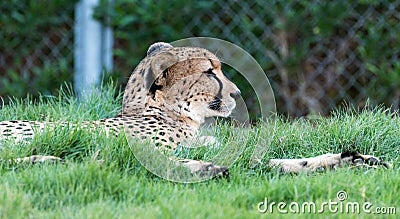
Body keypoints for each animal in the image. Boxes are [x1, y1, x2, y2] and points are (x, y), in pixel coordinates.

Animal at [0, 42, 390, 178]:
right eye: (209, 71)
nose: (237, 92)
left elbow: (272, 162)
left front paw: (352, 160)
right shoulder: (145, 147)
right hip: (30, 132)